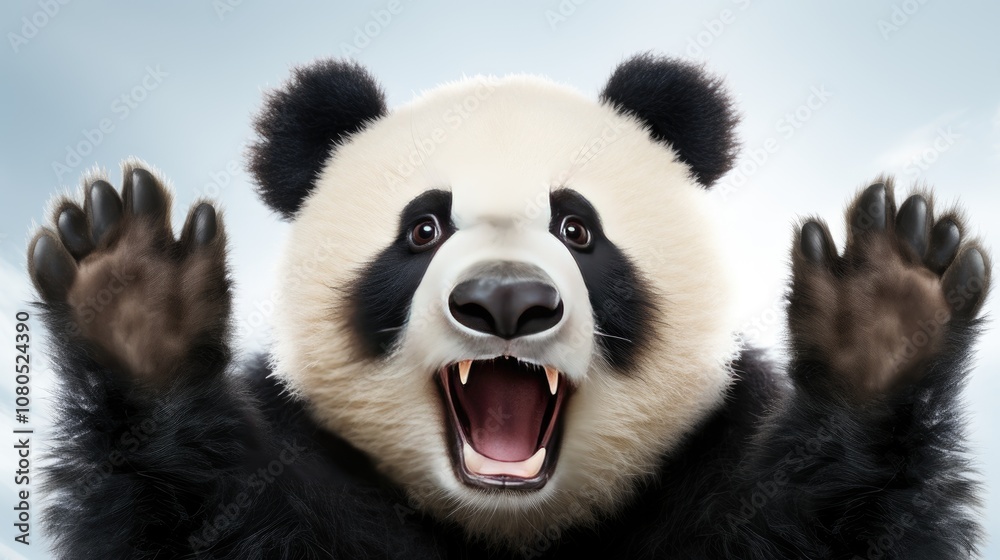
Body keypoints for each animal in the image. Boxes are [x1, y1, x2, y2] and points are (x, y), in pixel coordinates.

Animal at [28, 53, 990, 559]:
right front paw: (134, 306)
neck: (507, 528)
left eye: (577, 227)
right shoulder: (290, 489)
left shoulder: (718, 481)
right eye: (421, 228)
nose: (505, 302)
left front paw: (884, 320)